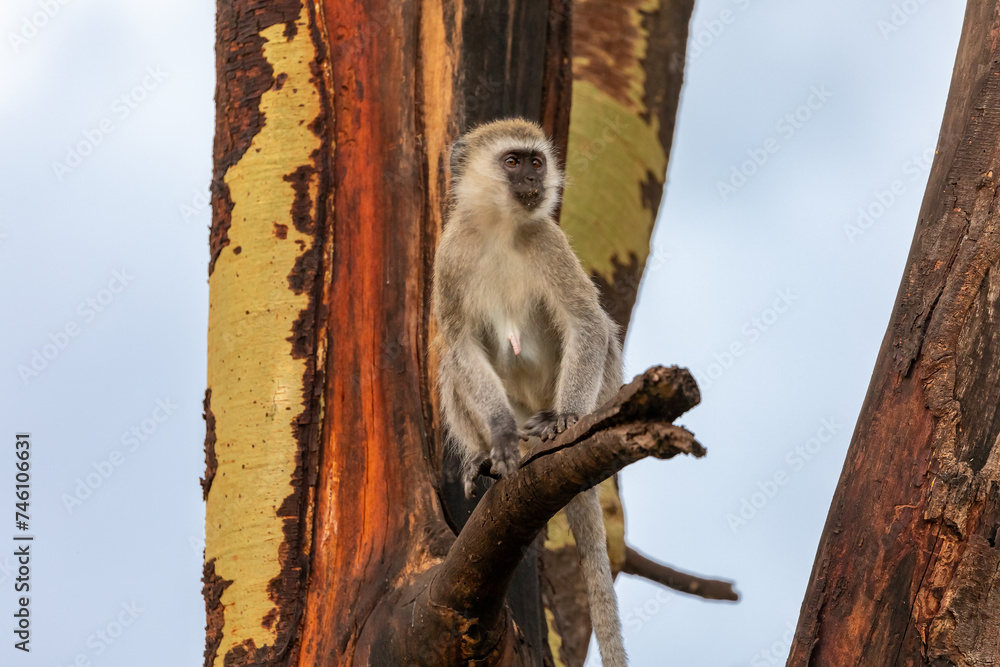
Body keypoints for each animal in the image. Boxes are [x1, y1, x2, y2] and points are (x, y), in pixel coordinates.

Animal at [431, 117, 627, 667]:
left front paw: (565, 419)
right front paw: (497, 440)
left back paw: (553, 422)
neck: (500, 228)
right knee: (449, 361)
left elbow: (586, 322)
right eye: (513, 161)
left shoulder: (549, 240)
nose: (533, 182)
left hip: (603, 390)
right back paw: (483, 454)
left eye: (536, 162)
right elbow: (461, 345)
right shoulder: (449, 256)